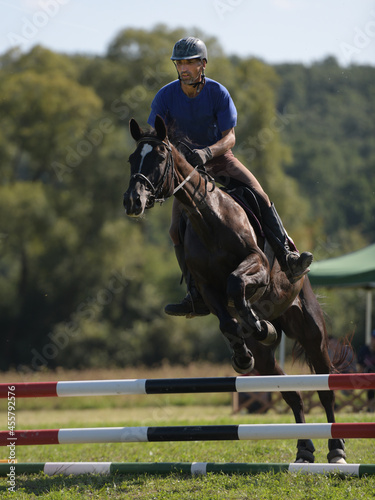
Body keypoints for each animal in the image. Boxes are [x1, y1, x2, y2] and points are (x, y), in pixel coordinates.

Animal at [125, 114, 348, 464]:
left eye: (159, 158)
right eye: (133, 158)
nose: (133, 201)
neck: (208, 217)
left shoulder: (257, 265)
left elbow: (236, 282)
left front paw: (257, 324)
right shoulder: (206, 288)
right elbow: (227, 319)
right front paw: (244, 351)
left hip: (311, 330)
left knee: (324, 387)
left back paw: (336, 448)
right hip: (269, 361)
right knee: (293, 394)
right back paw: (303, 449)